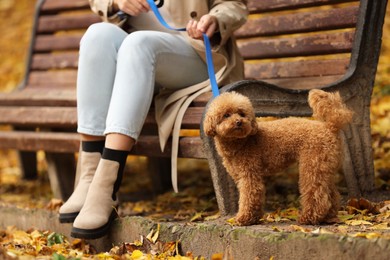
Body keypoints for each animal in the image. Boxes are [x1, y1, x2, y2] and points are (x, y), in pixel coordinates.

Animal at [204, 90, 354, 225]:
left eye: (242, 114)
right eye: (226, 115)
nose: (239, 122)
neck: (242, 142)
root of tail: (329, 127)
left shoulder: (249, 175)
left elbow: (249, 196)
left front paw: (244, 219)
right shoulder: (240, 176)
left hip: (312, 165)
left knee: (316, 195)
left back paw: (308, 218)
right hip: (324, 167)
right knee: (331, 194)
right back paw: (329, 217)